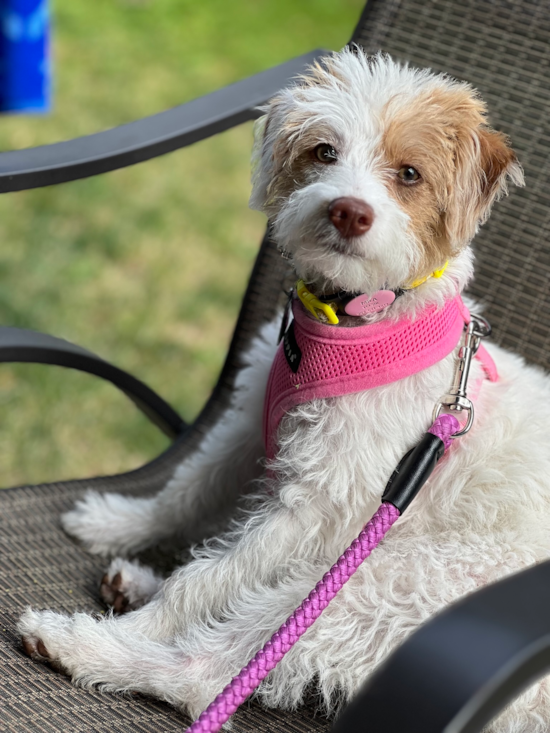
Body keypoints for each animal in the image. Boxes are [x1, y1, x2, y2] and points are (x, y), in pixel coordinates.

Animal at [17, 48, 550, 728]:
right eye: (324, 151)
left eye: (409, 173)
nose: (348, 210)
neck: (353, 323)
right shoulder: (247, 422)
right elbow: (186, 491)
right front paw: (119, 522)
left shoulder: (317, 510)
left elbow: (202, 584)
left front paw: (141, 622)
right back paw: (132, 583)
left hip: (374, 577)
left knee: (213, 676)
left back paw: (86, 644)